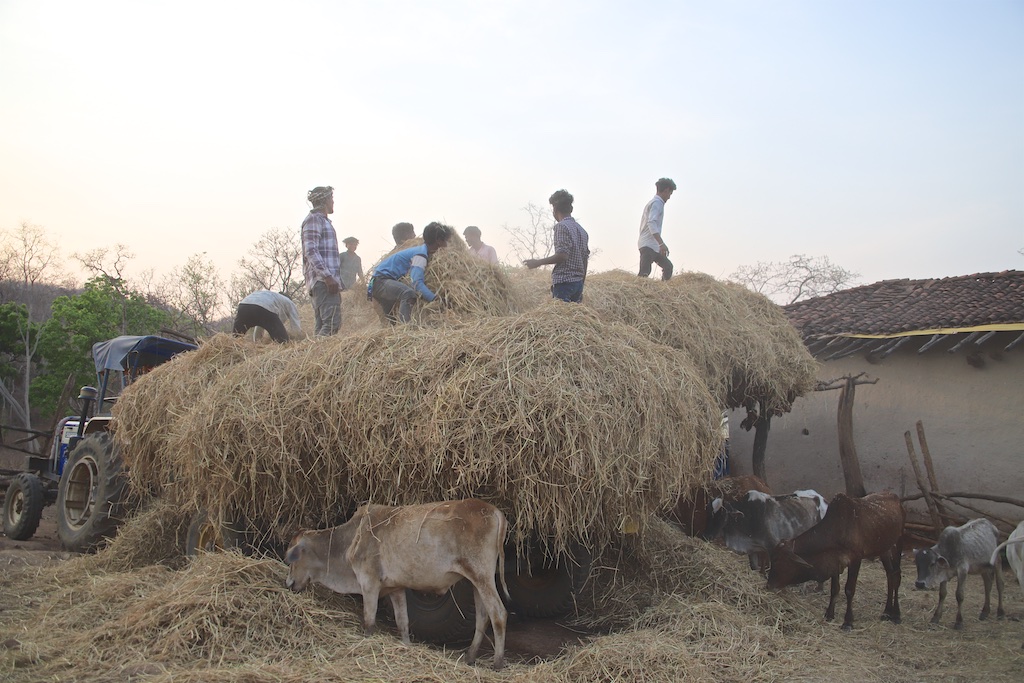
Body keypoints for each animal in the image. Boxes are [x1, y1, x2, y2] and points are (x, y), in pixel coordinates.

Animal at [284, 499, 510, 669]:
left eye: (292, 559)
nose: (289, 583)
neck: (350, 540)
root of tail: (493, 510)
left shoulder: (369, 583)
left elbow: (369, 621)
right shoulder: (396, 588)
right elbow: (403, 622)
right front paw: (406, 647)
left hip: (482, 576)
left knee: (498, 613)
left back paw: (497, 662)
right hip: (476, 581)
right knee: (482, 617)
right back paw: (470, 657)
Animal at [767, 492, 905, 630]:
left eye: (777, 560)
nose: (768, 585)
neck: (837, 530)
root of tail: (895, 497)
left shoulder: (856, 559)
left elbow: (849, 590)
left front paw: (848, 621)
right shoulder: (834, 562)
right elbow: (834, 589)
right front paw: (829, 614)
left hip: (898, 544)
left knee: (896, 576)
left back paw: (896, 614)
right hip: (884, 550)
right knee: (890, 575)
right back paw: (887, 611)